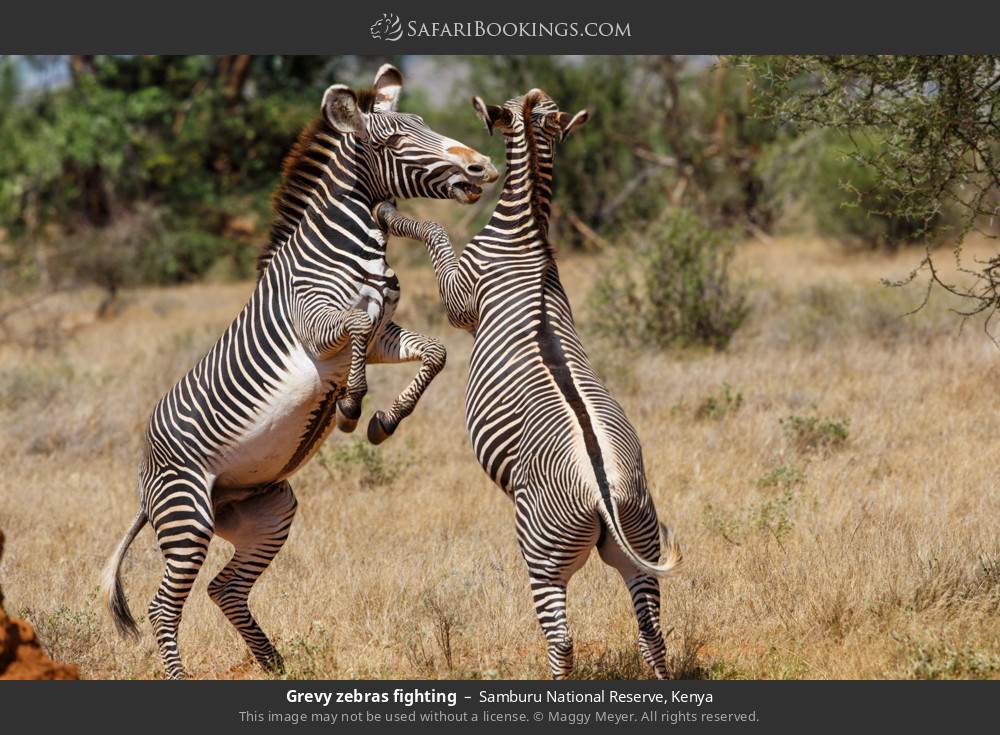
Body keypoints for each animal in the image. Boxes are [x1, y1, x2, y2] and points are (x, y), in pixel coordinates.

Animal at [97, 66, 496, 680]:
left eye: (425, 125)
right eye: (392, 141)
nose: (481, 167)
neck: (354, 247)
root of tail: (144, 482)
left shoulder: (384, 337)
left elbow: (434, 352)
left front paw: (386, 419)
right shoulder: (319, 326)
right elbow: (355, 325)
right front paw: (352, 404)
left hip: (265, 509)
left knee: (225, 588)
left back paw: (275, 664)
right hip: (187, 513)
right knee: (164, 605)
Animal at [376, 89, 680, 680]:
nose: (475, 172)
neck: (528, 233)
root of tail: (604, 491)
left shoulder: (461, 300)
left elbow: (437, 234)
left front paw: (391, 214)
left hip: (543, 555)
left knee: (562, 640)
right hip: (640, 538)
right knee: (651, 632)